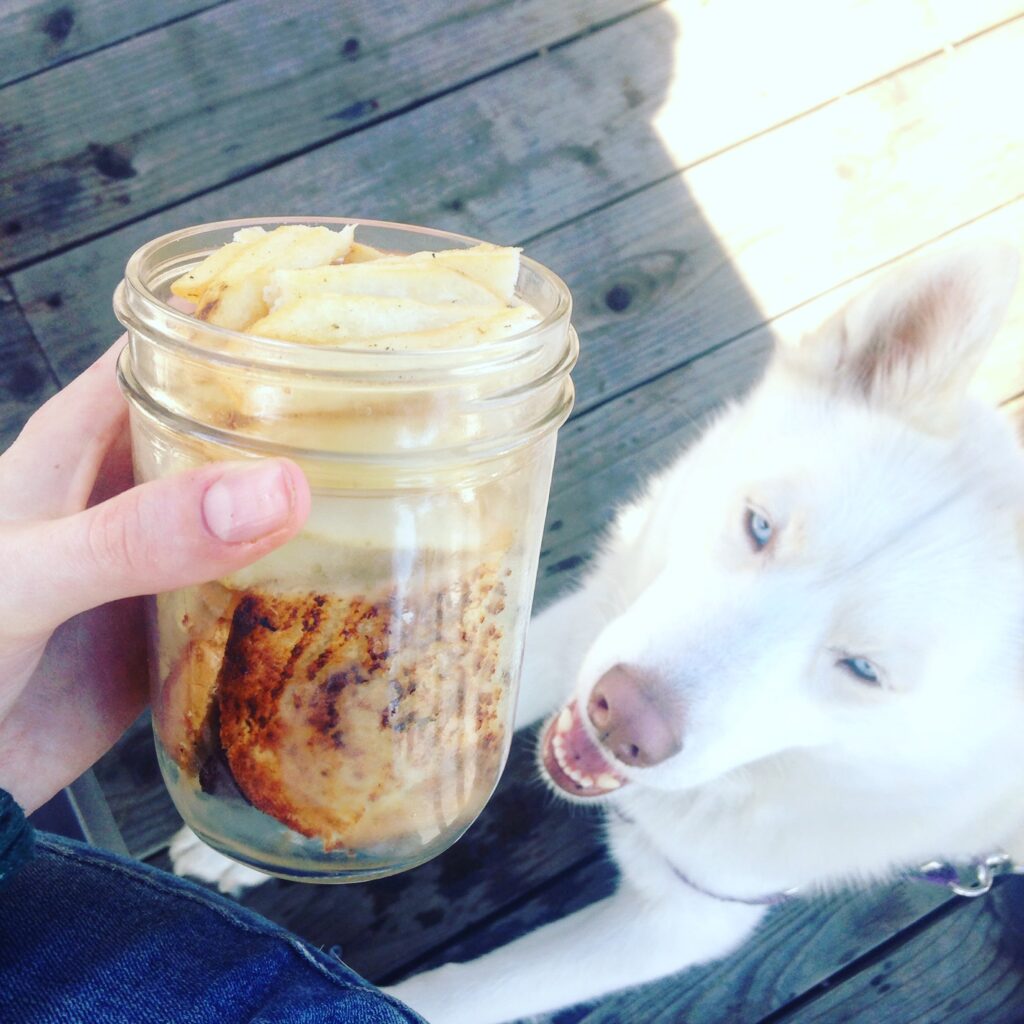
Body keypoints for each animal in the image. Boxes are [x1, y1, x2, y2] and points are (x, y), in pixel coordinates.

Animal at [176, 245, 1024, 1024]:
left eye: (864, 671)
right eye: (758, 526)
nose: (625, 720)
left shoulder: (682, 920)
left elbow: (473, 990)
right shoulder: (594, 625)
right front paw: (238, 840)